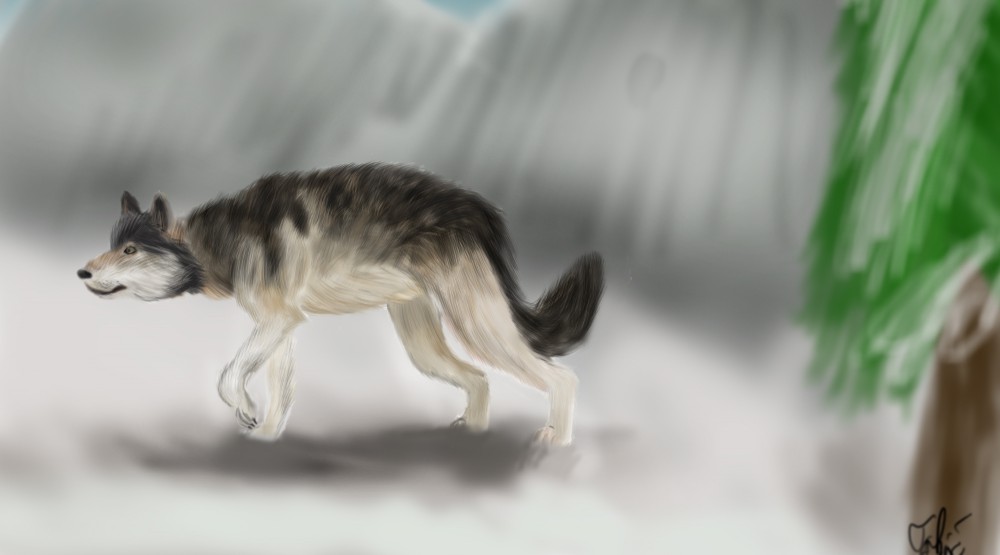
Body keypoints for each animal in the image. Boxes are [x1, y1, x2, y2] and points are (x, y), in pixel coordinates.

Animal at [78, 163, 604, 446]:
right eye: (112, 244)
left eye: (130, 250)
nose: (82, 273)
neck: (215, 243)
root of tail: (481, 209)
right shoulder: (282, 329)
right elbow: (278, 393)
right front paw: (265, 438)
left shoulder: (278, 320)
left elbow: (227, 375)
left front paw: (246, 411)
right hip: (423, 343)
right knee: (479, 380)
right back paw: (472, 436)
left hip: (476, 324)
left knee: (562, 378)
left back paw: (556, 445)